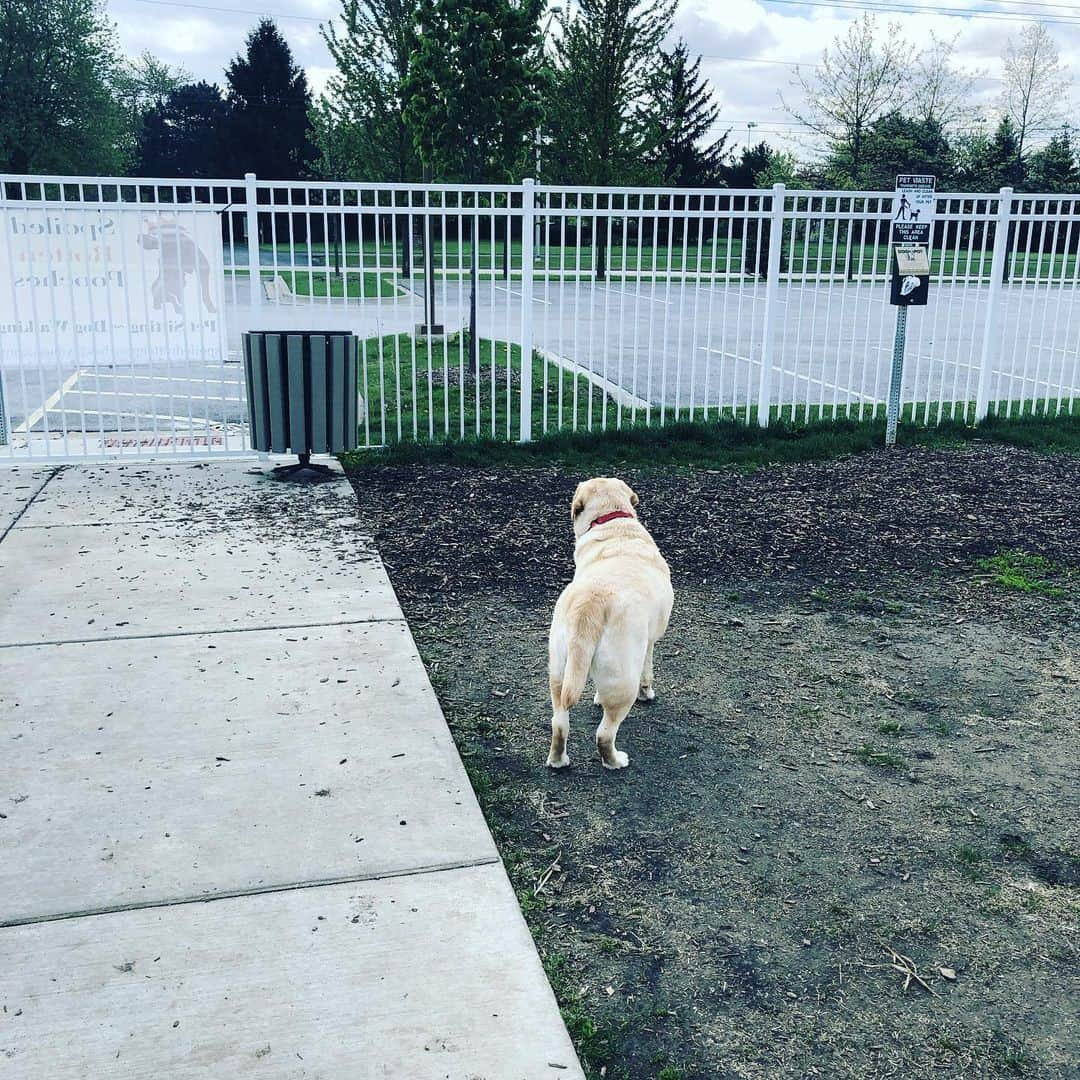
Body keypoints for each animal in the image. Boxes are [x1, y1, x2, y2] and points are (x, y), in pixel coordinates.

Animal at [552, 479, 669, 768]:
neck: (613, 523)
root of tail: (590, 602)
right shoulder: (649, 642)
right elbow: (648, 670)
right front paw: (647, 693)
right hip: (623, 680)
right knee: (604, 734)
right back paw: (615, 761)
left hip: (560, 672)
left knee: (559, 723)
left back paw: (558, 761)